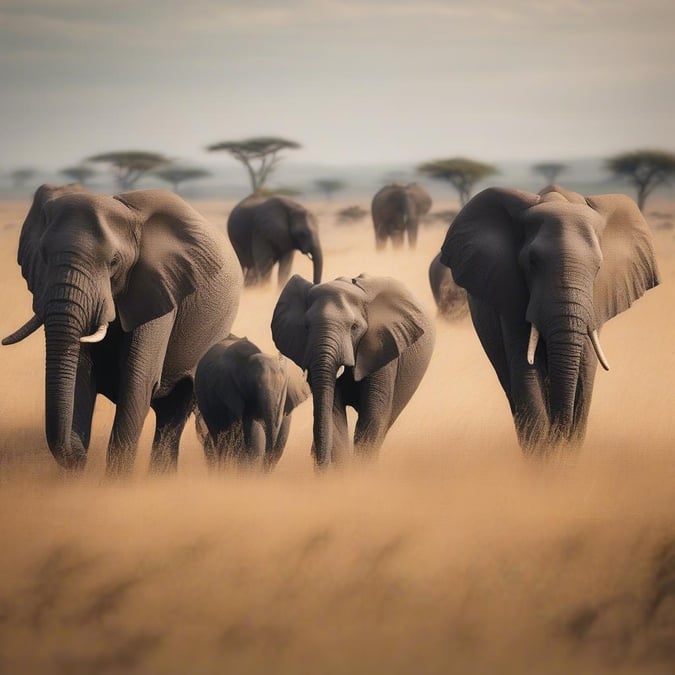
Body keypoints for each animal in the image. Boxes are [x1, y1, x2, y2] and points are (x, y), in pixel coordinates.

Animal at [1, 184, 244, 476]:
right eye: (44, 256)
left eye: (114, 261)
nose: (80, 459)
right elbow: (80, 376)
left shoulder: (159, 287)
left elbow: (137, 380)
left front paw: (115, 483)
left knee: (177, 406)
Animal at [272, 272, 436, 468]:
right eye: (306, 327)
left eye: (354, 327)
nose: (317, 463)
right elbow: (333, 412)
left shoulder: (381, 348)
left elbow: (372, 416)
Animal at [438, 185, 660, 454]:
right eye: (532, 262)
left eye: (598, 266)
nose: (559, 436)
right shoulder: (510, 296)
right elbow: (525, 372)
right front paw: (545, 460)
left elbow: (584, 375)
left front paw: (564, 458)